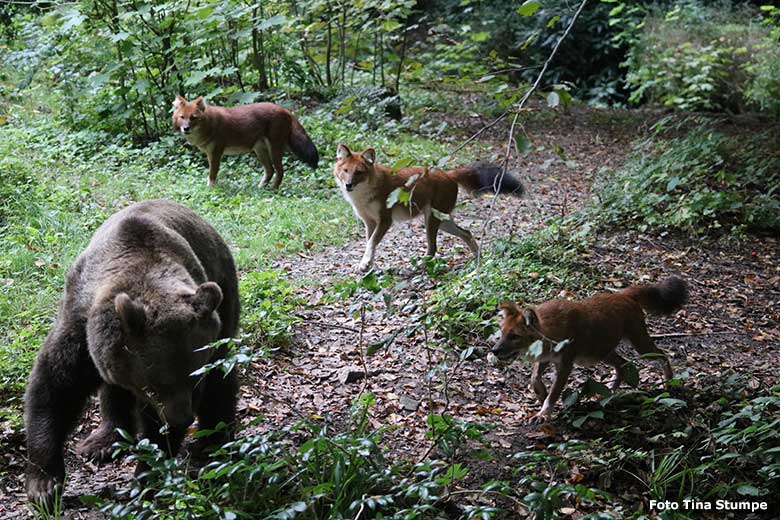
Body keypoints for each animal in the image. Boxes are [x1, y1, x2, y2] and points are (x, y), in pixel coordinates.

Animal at [24, 200, 239, 512]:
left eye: (192, 380)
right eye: (155, 385)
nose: (181, 418)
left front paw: (145, 482)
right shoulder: (81, 323)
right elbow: (54, 387)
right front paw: (44, 486)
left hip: (223, 296)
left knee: (221, 379)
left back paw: (213, 442)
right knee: (112, 389)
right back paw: (102, 440)